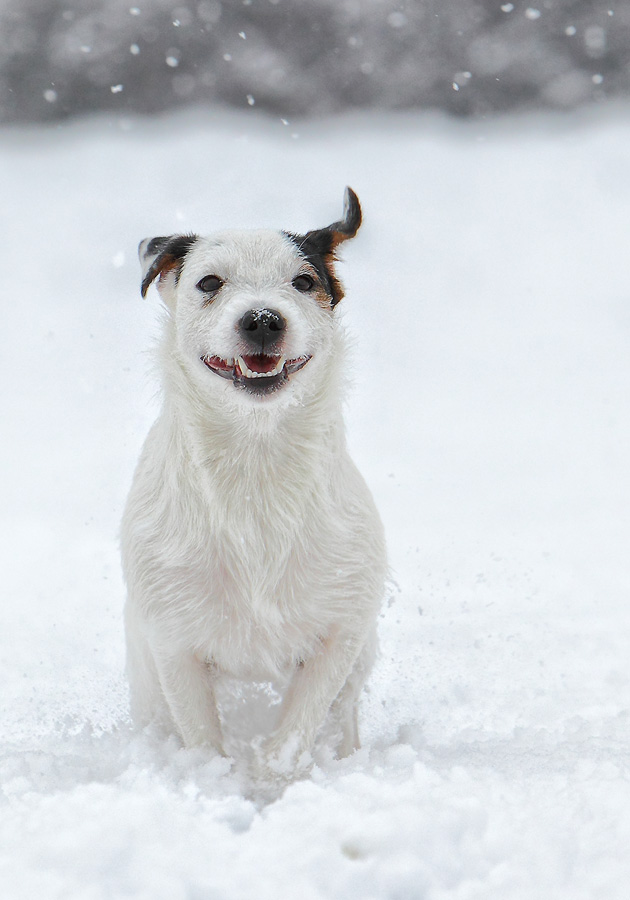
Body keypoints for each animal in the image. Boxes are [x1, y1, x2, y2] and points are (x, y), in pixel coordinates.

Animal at [121, 188, 388, 788]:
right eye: (209, 282)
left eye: (304, 282)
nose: (263, 319)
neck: (255, 462)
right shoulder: (173, 641)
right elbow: (200, 736)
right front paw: (218, 783)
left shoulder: (342, 627)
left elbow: (297, 727)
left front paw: (272, 782)